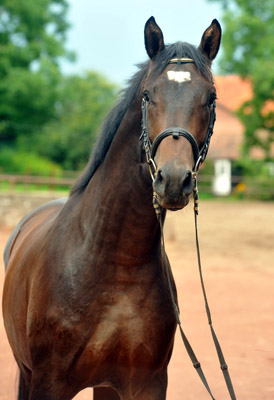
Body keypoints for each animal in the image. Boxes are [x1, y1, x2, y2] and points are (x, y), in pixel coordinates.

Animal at [2, 16, 222, 400]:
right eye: (148, 95)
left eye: (210, 99)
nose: (173, 180)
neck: (116, 265)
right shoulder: (48, 383)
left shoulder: (147, 384)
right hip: (27, 373)